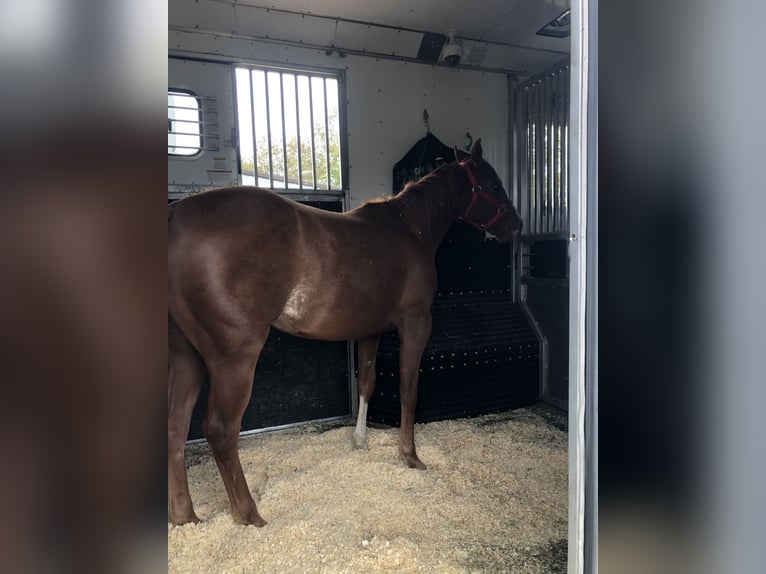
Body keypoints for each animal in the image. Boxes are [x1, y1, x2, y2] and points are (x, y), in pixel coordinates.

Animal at [169, 140, 524, 528]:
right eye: (493, 185)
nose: (517, 225)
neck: (411, 229)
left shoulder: (370, 331)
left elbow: (367, 382)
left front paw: (360, 442)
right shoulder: (415, 323)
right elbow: (409, 388)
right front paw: (410, 456)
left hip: (186, 355)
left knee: (176, 427)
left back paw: (185, 517)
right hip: (234, 356)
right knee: (220, 429)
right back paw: (251, 516)